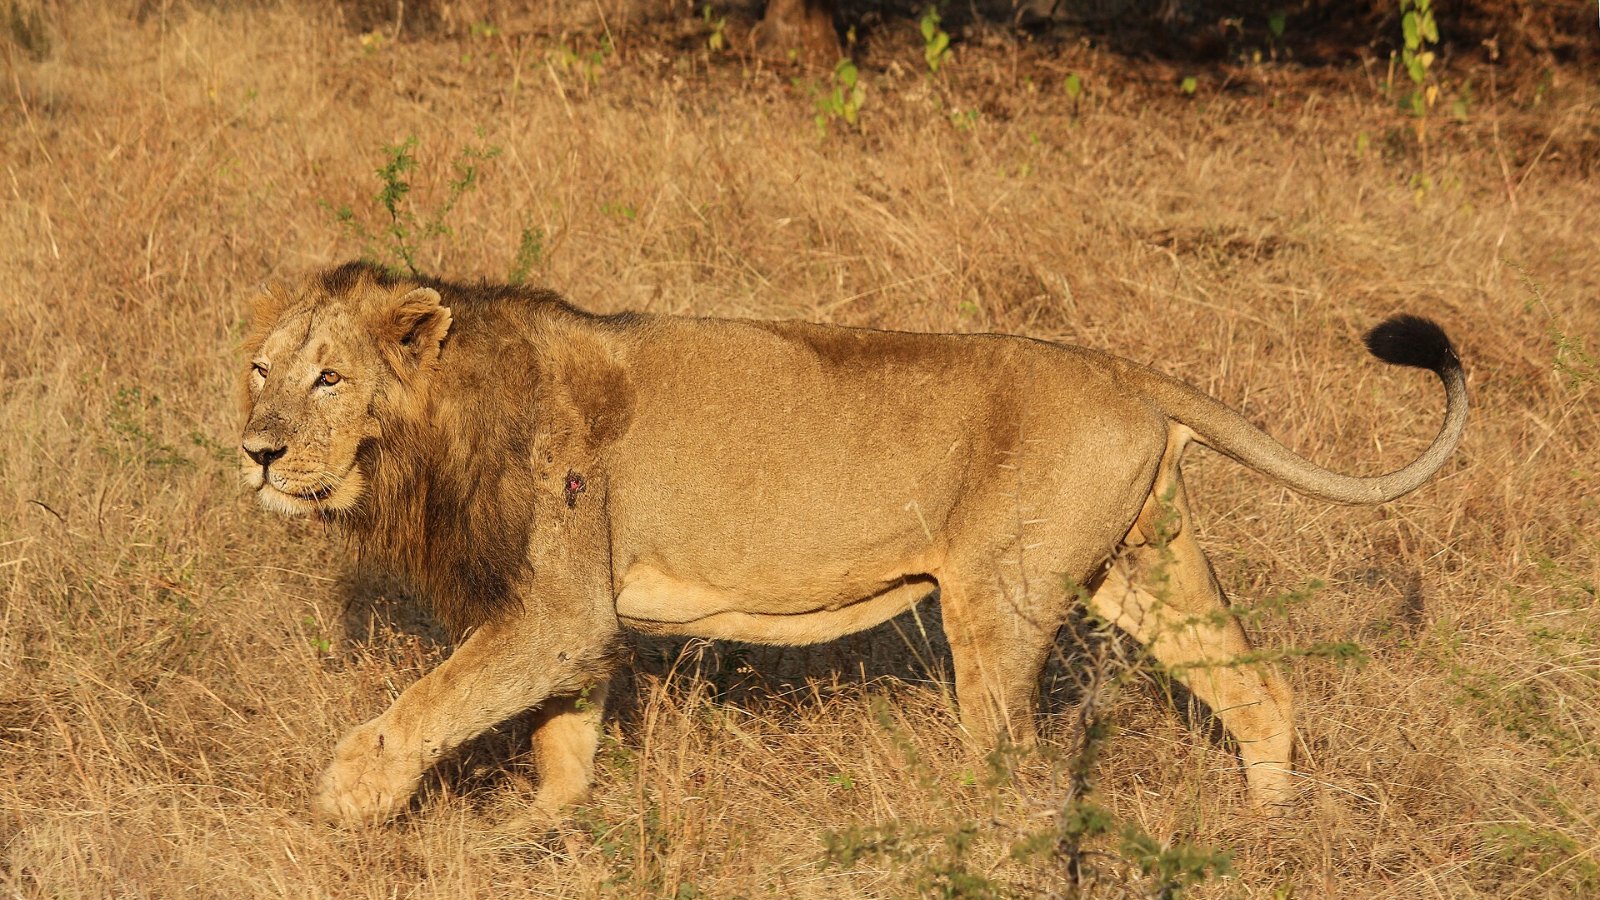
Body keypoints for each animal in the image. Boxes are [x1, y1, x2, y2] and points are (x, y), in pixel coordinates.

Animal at [239, 261, 1467, 825]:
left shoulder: (555, 608)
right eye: (259, 369)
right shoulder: (575, 621)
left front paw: (347, 801)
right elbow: (561, 739)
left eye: (329, 378)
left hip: (999, 597)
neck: (438, 428)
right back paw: (1267, 832)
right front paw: (538, 837)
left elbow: (430, 701)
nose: (255, 451)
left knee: (1010, 755)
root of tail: (1126, 371)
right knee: (1260, 691)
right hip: (1144, 566)